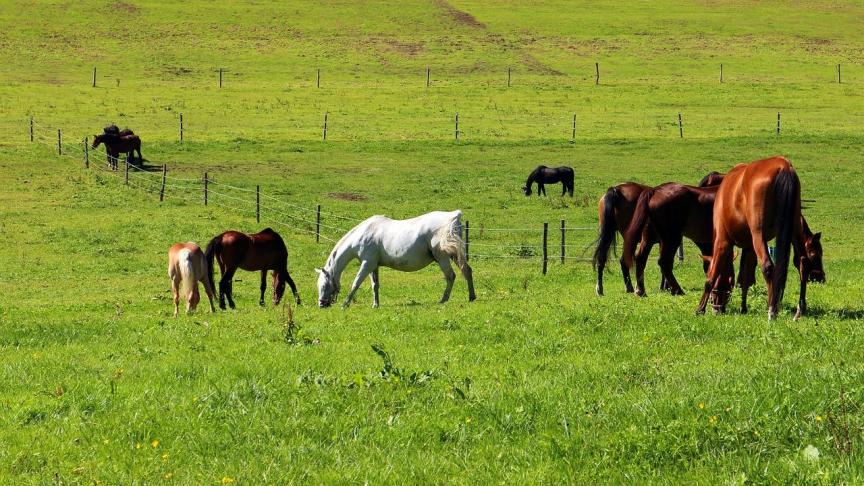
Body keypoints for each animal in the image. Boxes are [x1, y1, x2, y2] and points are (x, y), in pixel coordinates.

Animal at [316, 210, 476, 309]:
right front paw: (375, 305)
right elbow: (375, 285)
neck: (364, 234)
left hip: (442, 257)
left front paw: (345, 304)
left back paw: (443, 300)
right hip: (454, 255)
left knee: (450, 276)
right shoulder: (374, 266)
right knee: (467, 271)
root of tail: (454, 216)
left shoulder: (367, 264)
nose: (321, 305)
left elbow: (356, 283)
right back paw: (472, 297)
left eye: (323, 284)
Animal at [697, 156, 803, 320]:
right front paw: (743, 308)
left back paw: (772, 309)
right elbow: (745, 278)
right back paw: (799, 309)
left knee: (768, 267)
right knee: (803, 264)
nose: (717, 309)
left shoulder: (722, 242)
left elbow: (711, 277)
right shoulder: (749, 246)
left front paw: (700, 309)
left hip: (758, 234)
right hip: (794, 229)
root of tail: (783, 165)